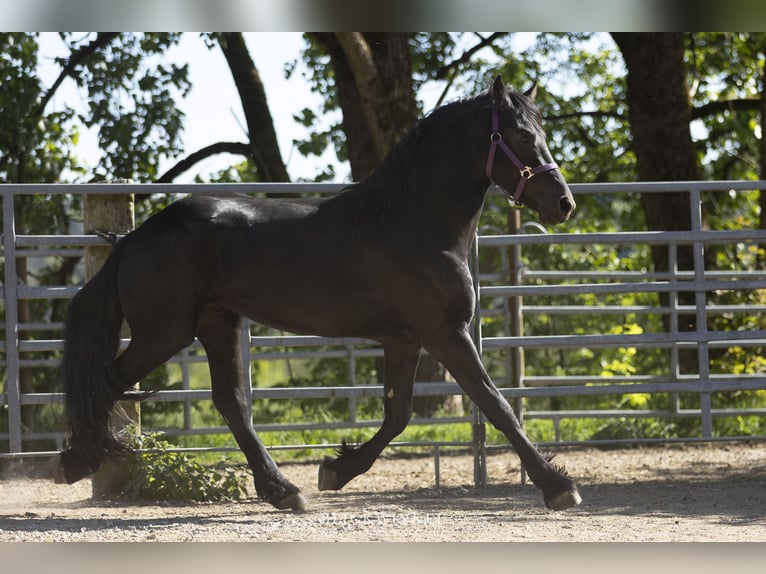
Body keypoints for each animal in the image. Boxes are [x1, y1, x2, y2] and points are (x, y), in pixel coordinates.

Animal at [56, 76, 580, 511]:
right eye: (522, 136)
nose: (564, 204)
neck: (413, 223)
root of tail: (136, 237)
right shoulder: (446, 334)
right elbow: (497, 405)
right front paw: (558, 487)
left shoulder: (405, 340)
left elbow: (399, 414)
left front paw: (336, 470)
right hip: (164, 333)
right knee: (109, 379)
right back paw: (77, 461)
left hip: (217, 324)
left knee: (231, 403)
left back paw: (283, 490)